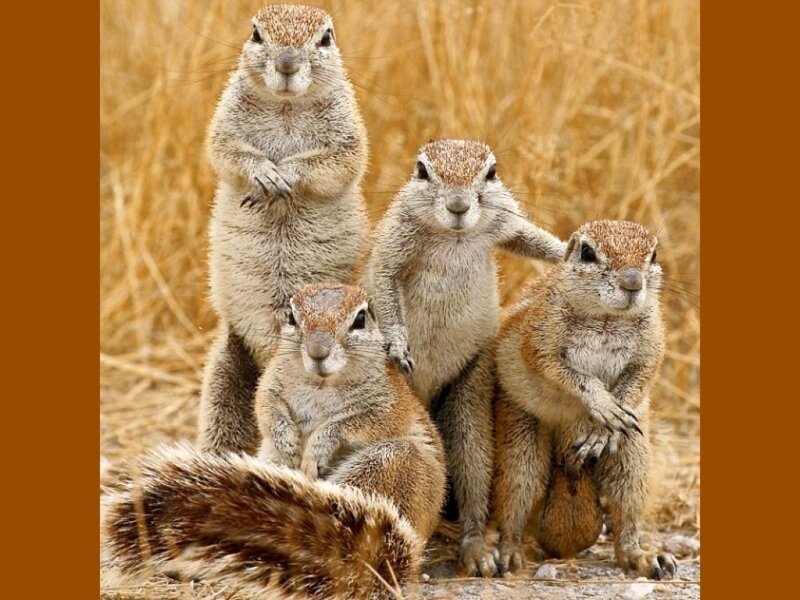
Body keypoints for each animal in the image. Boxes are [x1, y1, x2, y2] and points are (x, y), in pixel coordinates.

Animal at [102, 283, 446, 599]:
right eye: (292, 316)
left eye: (360, 319)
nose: (317, 351)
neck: (321, 385)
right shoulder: (270, 383)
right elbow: (267, 410)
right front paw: (288, 440)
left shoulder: (389, 405)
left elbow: (355, 422)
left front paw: (319, 444)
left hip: (391, 463)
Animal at [198, 4, 369, 456]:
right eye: (257, 33)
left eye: (325, 37)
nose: (287, 63)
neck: (286, 107)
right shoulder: (225, 121)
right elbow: (225, 151)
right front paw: (263, 173)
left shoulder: (348, 131)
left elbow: (337, 161)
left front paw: (287, 173)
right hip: (225, 371)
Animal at [361, 139, 566, 577]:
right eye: (422, 171)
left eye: (491, 172)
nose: (458, 205)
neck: (453, 236)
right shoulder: (394, 239)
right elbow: (384, 282)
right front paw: (398, 344)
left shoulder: (504, 221)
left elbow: (531, 237)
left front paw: (572, 249)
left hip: (470, 390)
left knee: (473, 466)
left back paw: (475, 550)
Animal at [491, 220, 678, 580]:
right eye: (588, 253)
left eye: (653, 254)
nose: (633, 282)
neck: (606, 318)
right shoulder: (539, 336)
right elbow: (566, 372)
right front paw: (603, 405)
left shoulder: (652, 345)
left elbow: (640, 378)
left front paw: (604, 430)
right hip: (521, 441)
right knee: (517, 498)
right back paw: (508, 554)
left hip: (634, 456)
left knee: (625, 511)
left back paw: (644, 557)